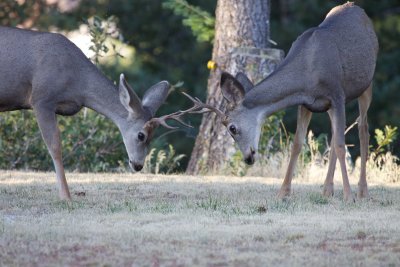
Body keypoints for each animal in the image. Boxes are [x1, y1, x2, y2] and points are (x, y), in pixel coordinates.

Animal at [0, 26, 194, 200]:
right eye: (141, 135)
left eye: (152, 136)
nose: (138, 165)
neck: (78, 84)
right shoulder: (42, 99)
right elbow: (55, 147)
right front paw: (66, 196)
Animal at [188, 3, 378, 202]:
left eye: (232, 128)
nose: (248, 158)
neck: (307, 72)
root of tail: (357, 8)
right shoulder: (306, 103)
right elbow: (298, 144)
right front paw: (283, 192)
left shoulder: (337, 95)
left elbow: (341, 145)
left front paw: (349, 196)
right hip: (330, 106)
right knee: (335, 135)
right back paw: (327, 190)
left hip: (367, 84)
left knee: (363, 129)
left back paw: (362, 191)